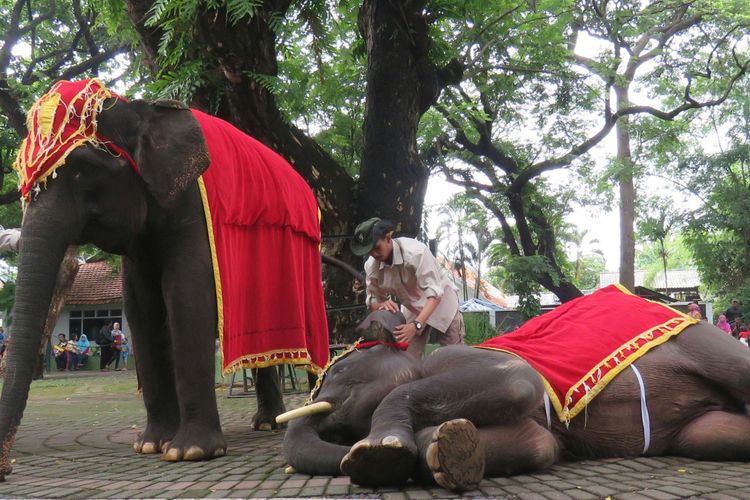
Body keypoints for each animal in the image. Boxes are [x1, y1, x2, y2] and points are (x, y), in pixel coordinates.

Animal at [0, 79, 328, 480]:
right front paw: (149, 445)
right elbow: (140, 310)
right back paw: (266, 423)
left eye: (82, 169)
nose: (6, 467)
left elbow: (186, 298)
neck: (136, 108)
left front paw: (190, 452)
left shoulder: (191, 209)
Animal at [280, 288, 750, 490]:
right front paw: (444, 449)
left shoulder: (468, 361)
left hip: (702, 339)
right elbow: (537, 444)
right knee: (712, 436)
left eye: (341, 371)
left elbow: (518, 382)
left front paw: (380, 454)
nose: (339, 433)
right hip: (700, 423)